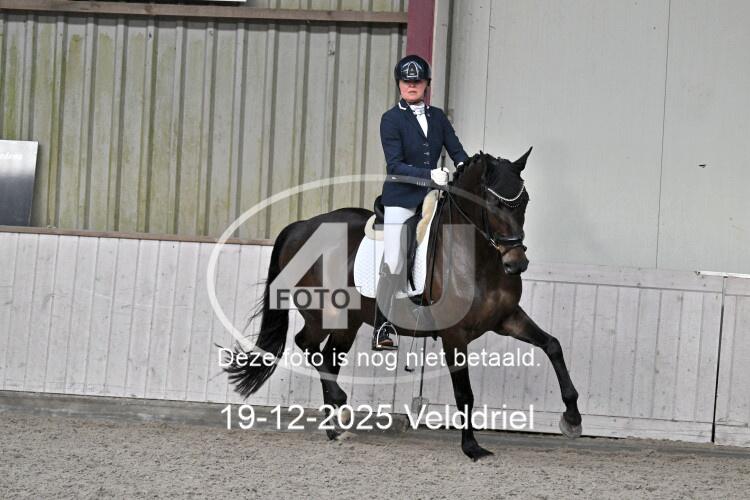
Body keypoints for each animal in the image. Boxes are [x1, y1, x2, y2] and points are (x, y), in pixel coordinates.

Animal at [225, 150, 583, 460]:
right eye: (493, 203)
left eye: (524, 201)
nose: (516, 263)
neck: (477, 258)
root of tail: (300, 226)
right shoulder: (455, 334)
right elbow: (464, 392)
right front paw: (472, 447)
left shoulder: (507, 318)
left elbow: (553, 346)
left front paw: (573, 419)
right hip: (323, 314)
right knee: (307, 345)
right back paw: (340, 408)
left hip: (349, 322)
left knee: (328, 358)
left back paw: (335, 427)